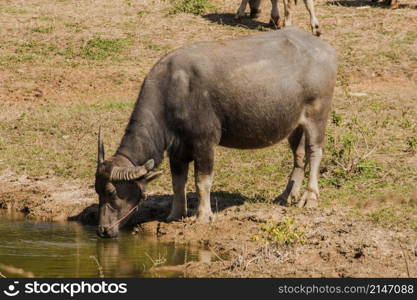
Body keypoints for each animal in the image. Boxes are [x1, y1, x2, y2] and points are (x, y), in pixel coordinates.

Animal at [94, 28, 334, 239]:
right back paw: (287, 195)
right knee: (299, 155)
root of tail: (326, 48)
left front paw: (203, 216)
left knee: (314, 151)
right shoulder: (177, 151)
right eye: (97, 190)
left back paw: (309, 197)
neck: (173, 92)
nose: (103, 230)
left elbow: (202, 181)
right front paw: (175, 214)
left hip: (317, 115)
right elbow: (178, 182)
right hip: (294, 124)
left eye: (112, 192)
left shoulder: (204, 143)